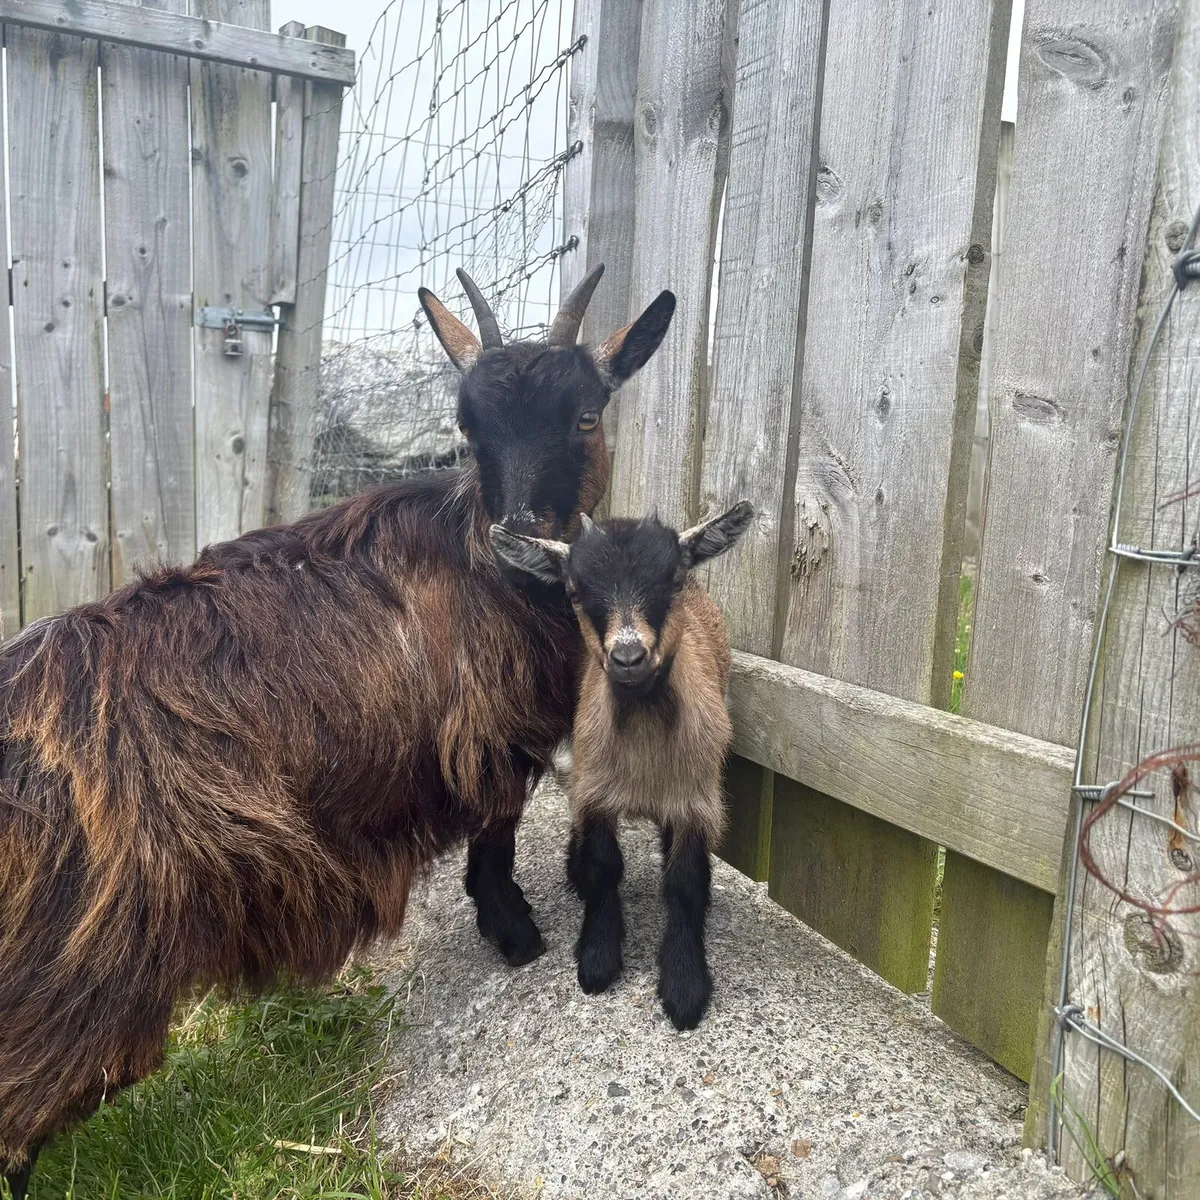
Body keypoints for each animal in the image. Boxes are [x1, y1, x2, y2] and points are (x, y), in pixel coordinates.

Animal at [0, 265, 675, 1197]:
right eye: (468, 427)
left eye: (584, 416)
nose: (519, 540)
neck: (474, 557)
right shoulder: (489, 736)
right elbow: (495, 836)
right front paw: (517, 937)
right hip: (77, 972)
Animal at [490, 501, 754, 1030]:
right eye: (574, 591)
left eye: (674, 579)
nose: (629, 656)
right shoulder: (596, 789)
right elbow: (602, 865)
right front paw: (597, 957)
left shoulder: (696, 797)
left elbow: (685, 882)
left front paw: (684, 985)